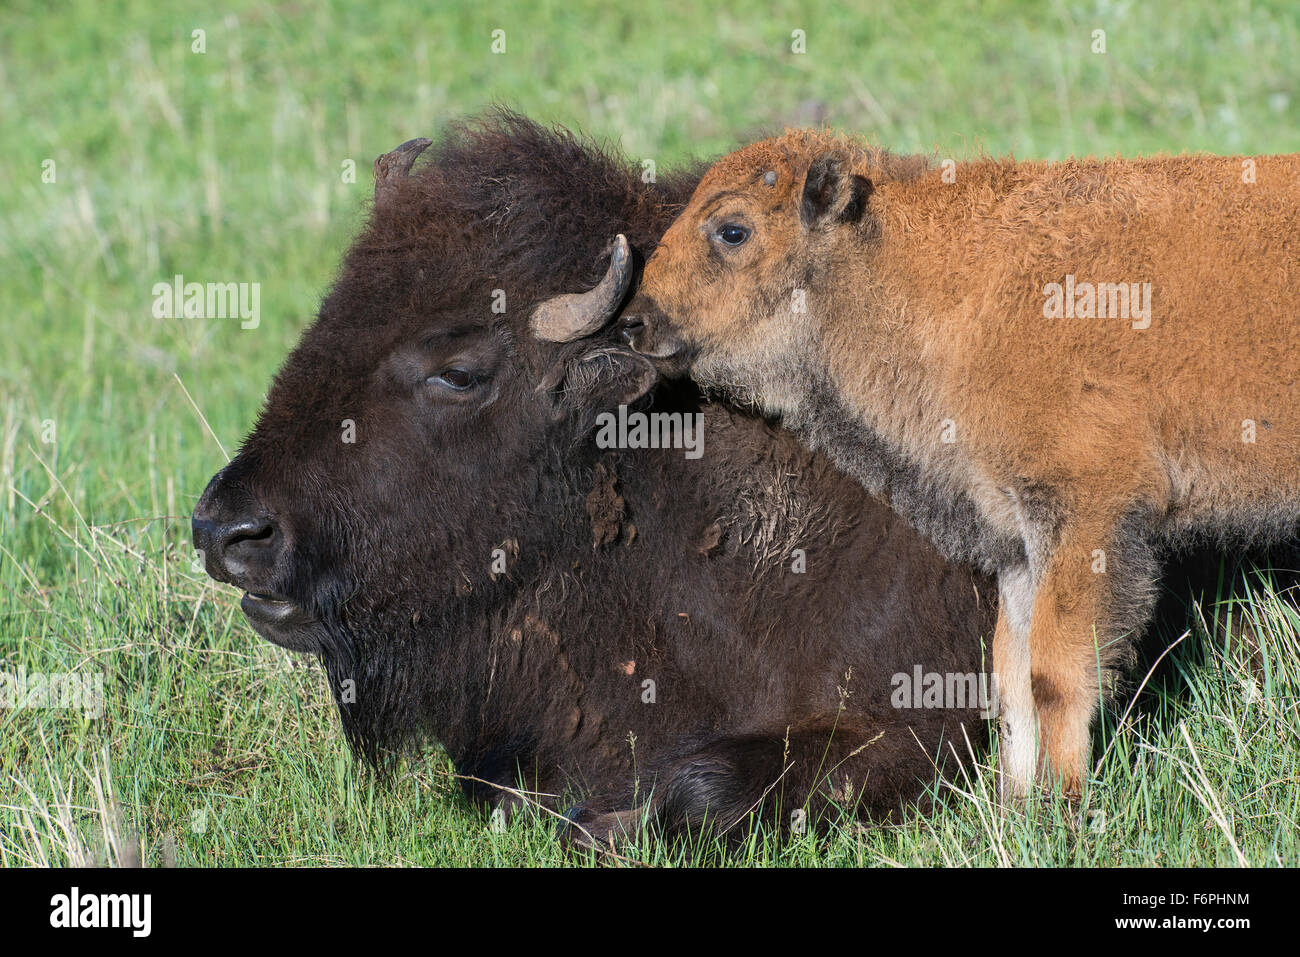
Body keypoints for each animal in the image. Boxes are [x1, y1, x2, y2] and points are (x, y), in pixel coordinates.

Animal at [195, 113, 993, 842]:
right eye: (326, 317)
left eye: (459, 372)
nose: (227, 530)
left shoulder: (917, 722)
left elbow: (702, 787)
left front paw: (602, 826)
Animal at [629, 127, 1300, 800]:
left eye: (732, 230)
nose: (635, 321)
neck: (952, 288)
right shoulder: (1017, 542)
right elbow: (1011, 676)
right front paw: (1018, 806)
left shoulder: (1084, 517)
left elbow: (1054, 673)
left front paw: (1063, 806)